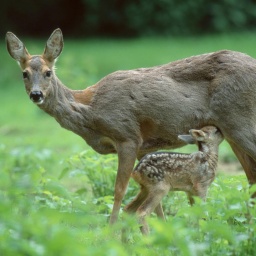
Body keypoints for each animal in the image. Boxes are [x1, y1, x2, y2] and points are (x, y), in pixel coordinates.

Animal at [5, 28, 256, 224]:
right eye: (24, 74)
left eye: (48, 72)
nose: (36, 94)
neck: (90, 110)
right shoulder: (145, 147)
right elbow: (154, 201)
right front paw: (161, 231)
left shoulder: (127, 136)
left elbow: (119, 190)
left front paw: (110, 232)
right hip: (232, 131)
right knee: (251, 175)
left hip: (240, 122)